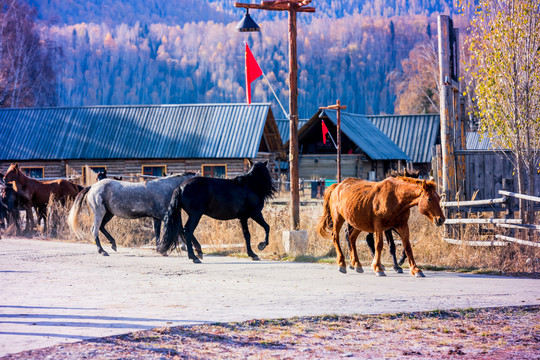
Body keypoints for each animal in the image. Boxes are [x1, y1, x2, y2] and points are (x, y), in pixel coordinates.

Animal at [314, 176, 446, 278]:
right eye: (429, 198)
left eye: (439, 198)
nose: (441, 219)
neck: (396, 196)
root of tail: (338, 186)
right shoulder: (380, 227)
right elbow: (379, 245)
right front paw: (378, 268)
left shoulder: (402, 226)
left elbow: (407, 247)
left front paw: (415, 269)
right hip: (338, 219)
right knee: (335, 237)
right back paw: (342, 264)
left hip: (358, 223)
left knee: (351, 238)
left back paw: (357, 264)